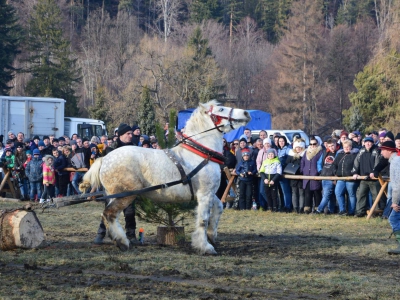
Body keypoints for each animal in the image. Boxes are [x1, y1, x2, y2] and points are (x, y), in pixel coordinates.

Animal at [79, 101, 250, 253]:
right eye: (221, 109)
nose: (246, 113)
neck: (200, 153)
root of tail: (104, 159)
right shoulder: (204, 194)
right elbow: (203, 220)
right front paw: (205, 247)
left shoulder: (209, 193)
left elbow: (219, 207)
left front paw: (212, 236)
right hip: (125, 195)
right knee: (109, 214)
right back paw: (122, 242)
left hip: (114, 195)